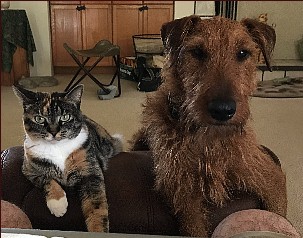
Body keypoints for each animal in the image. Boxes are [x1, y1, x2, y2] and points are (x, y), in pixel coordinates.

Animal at [13, 84, 122, 231]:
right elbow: (47, 179)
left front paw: (98, 230)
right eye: (39, 119)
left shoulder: (90, 172)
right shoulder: (29, 169)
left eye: (65, 117)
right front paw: (58, 205)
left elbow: (96, 207)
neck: (57, 148)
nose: (53, 132)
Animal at [131, 15, 288, 237]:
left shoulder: (269, 177)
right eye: (197, 52)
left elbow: (277, 214)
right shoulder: (187, 198)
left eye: (243, 53)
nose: (222, 110)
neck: (210, 141)